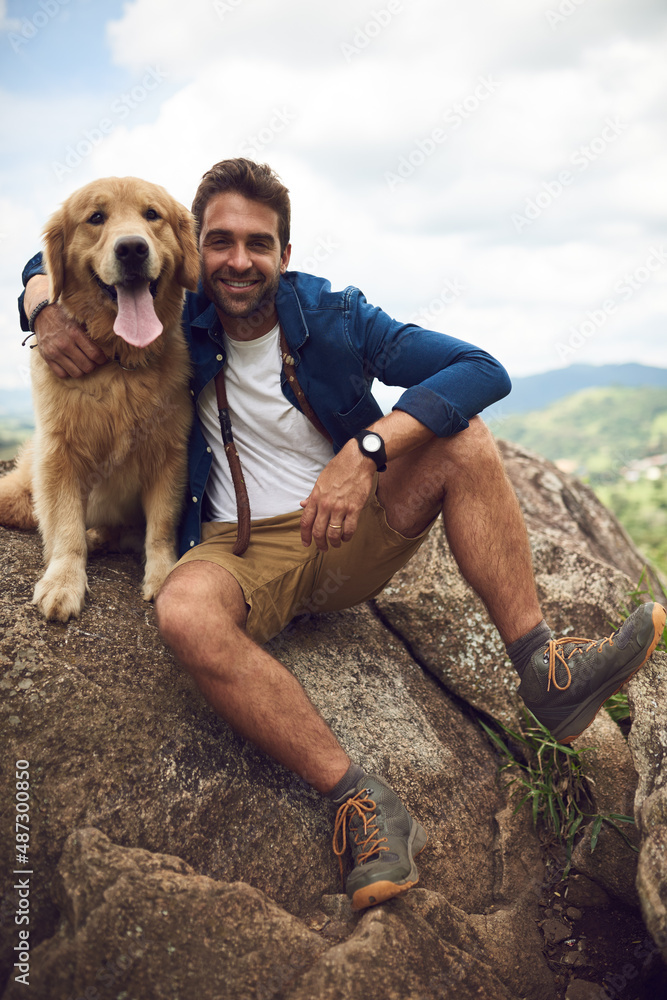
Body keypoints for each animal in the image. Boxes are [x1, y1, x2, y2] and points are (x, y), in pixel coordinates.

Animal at [0, 176, 198, 620]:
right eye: (95, 218)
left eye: (152, 214)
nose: (132, 249)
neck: (118, 360)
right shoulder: (60, 453)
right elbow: (65, 526)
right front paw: (63, 581)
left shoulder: (170, 453)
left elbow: (162, 526)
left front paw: (163, 576)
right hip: (20, 493)